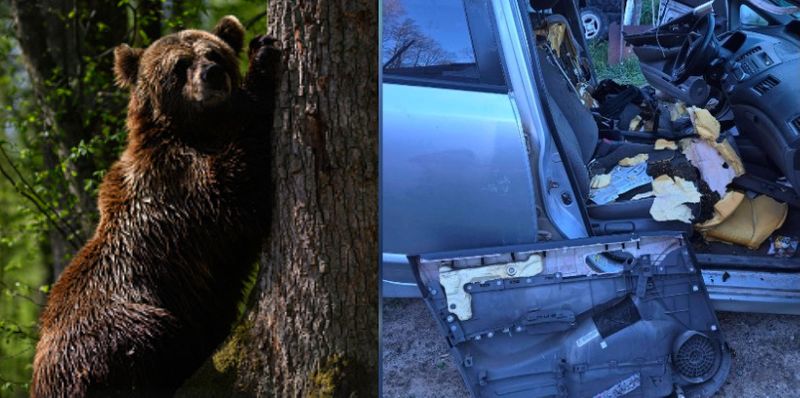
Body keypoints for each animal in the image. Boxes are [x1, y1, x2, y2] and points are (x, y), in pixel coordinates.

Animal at [30, 15, 278, 398]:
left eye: (214, 54)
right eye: (180, 65)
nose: (212, 74)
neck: (194, 132)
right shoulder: (176, 186)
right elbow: (235, 187)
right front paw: (262, 59)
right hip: (112, 328)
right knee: (152, 337)